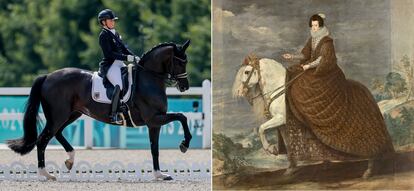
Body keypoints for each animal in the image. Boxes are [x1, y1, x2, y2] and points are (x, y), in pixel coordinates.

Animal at [6, 40, 192, 181]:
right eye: (180, 62)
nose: (185, 87)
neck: (148, 78)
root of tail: (47, 76)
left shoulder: (154, 123)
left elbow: (155, 149)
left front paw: (160, 175)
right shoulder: (154, 118)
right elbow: (181, 117)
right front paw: (184, 144)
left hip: (71, 114)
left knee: (57, 134)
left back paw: (69, 160)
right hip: (58, 116)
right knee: (42, 140)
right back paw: (46, 174)